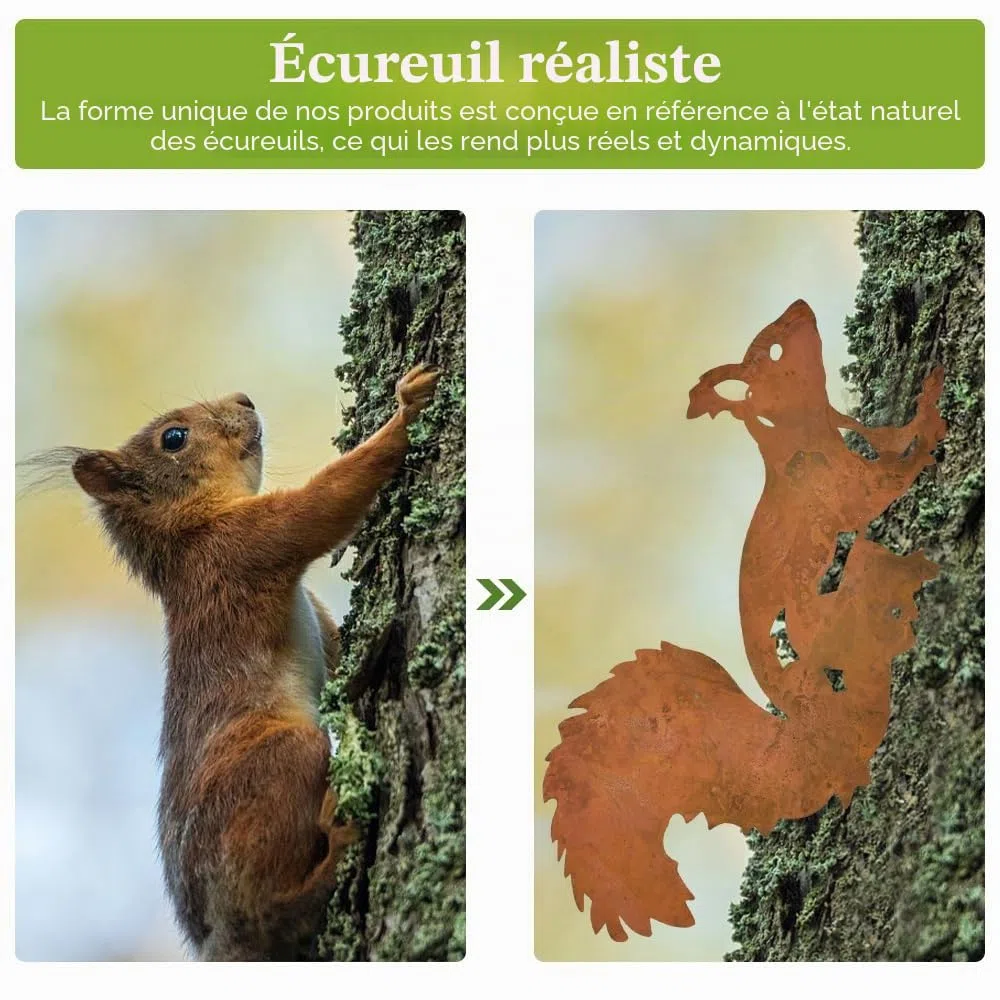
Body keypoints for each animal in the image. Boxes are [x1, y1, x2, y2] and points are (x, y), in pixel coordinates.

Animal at [58, 363, 440, 960]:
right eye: (173, 438)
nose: (244, 398)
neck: (191, 534)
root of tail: (222, 936)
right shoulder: (247, 546)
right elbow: (325, 503)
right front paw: (408, 408)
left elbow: (339, 650)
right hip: (275, 768)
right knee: (271, 908)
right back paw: (337, 844)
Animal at [543, 300, 946, 942]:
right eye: (772, 351)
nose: (800, 309)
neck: (802, 438)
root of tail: (817, 743)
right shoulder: (840, 486)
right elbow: (889, 479)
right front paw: (933, 414)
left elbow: (892, 441)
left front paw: (925, 397)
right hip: (838, 621)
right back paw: (899, 592)